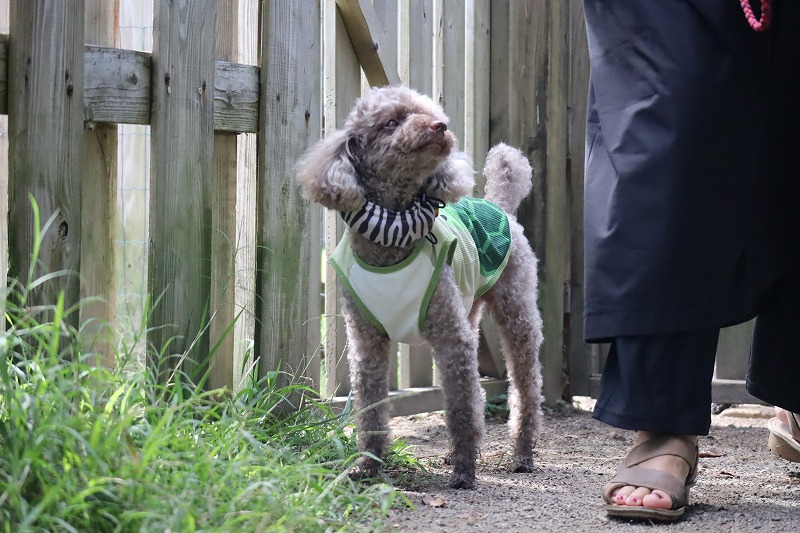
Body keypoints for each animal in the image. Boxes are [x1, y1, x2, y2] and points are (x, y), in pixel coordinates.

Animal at [296, 86, 543, 489]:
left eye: (430, 113)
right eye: (391, 122)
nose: (439, 126)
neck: (392, 237)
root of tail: (499, 205)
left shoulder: (451, 339)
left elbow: (461, 407)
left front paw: (464, 473)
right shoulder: (368, 343)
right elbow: (372, 409)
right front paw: (368, 467)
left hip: (516, 314)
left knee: (526, 389)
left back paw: (522, 455)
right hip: (468, 312)